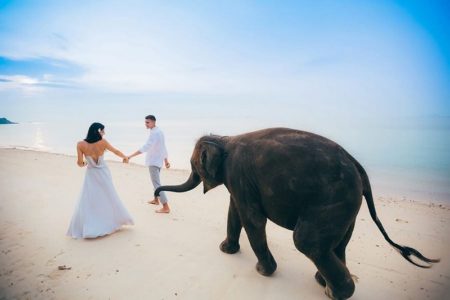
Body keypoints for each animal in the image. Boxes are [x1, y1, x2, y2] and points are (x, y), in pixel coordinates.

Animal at [156, 127, 440, 298]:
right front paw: (227, 251)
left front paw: (262, 272)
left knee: (307, 242)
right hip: (348, 206)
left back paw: (335, 293)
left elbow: (252, 218)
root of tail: (359, 168)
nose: (156, 195)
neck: (225, 138)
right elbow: (235, 210)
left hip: (334, 200)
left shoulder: (237, 173)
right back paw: (323, 283)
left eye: (194, 165)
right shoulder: (240, 181)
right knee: (337, 243)